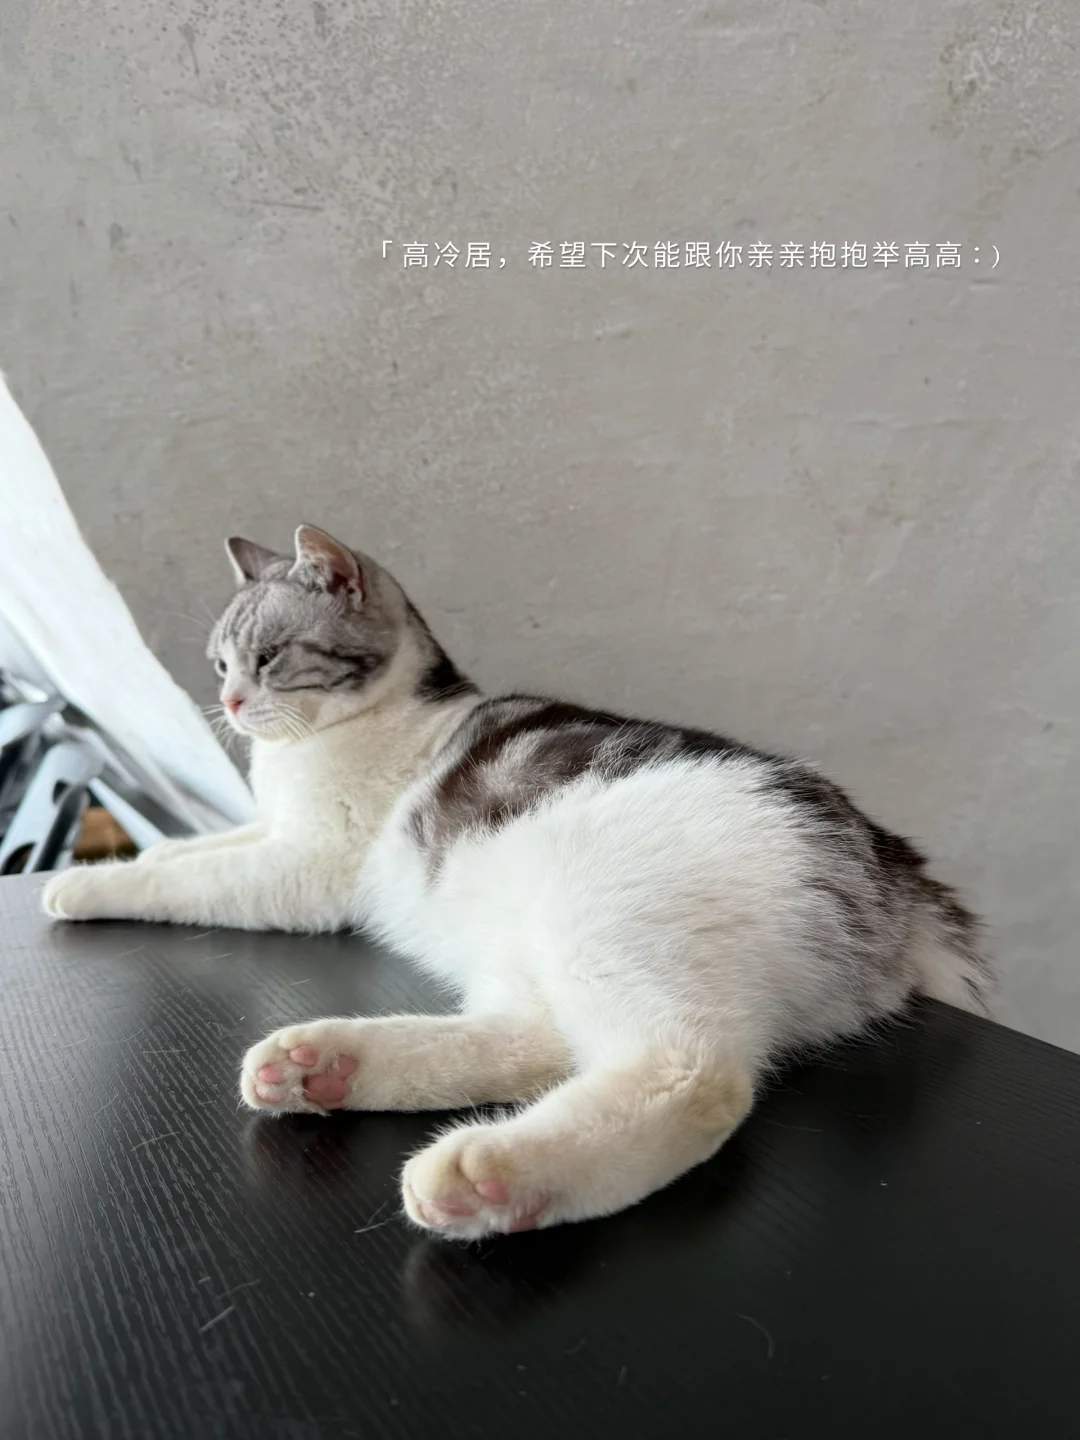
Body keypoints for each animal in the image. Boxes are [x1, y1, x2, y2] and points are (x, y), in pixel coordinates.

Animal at [43, 524, 992, 1239]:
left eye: (270, 658)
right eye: (220, 665)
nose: (232, 705)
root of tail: (889, 863)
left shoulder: (301, 867)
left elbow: (195, 877)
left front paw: (81, 886)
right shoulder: (273, 831)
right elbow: (195, 849)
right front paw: (144, 854)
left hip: (605, 915)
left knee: (688, 1075)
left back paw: (489, 1170)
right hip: (532, 946)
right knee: (538, 1041)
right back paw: (327, 1066)